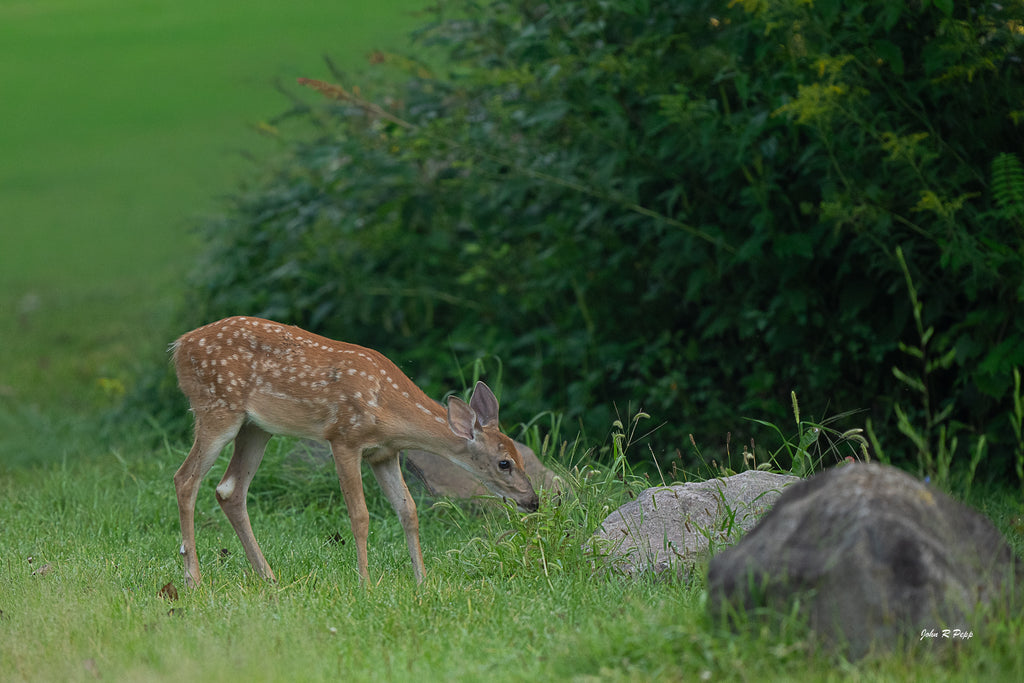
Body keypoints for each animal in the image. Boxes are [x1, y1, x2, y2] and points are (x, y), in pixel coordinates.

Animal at [171, 316, 539, 588]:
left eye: (523, 459)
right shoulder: (344, 438)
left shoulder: (384, 453)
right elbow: (359, 515)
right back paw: (193, 579)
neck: (388, 408)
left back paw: (268, 576)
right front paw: (365, 583)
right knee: (185, 479)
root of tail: (180, 345)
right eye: (504, 463)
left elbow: (408, 511)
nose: (533, 501)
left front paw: (421, 580)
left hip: (257, 428)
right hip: (217, 409)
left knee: (229, 489)